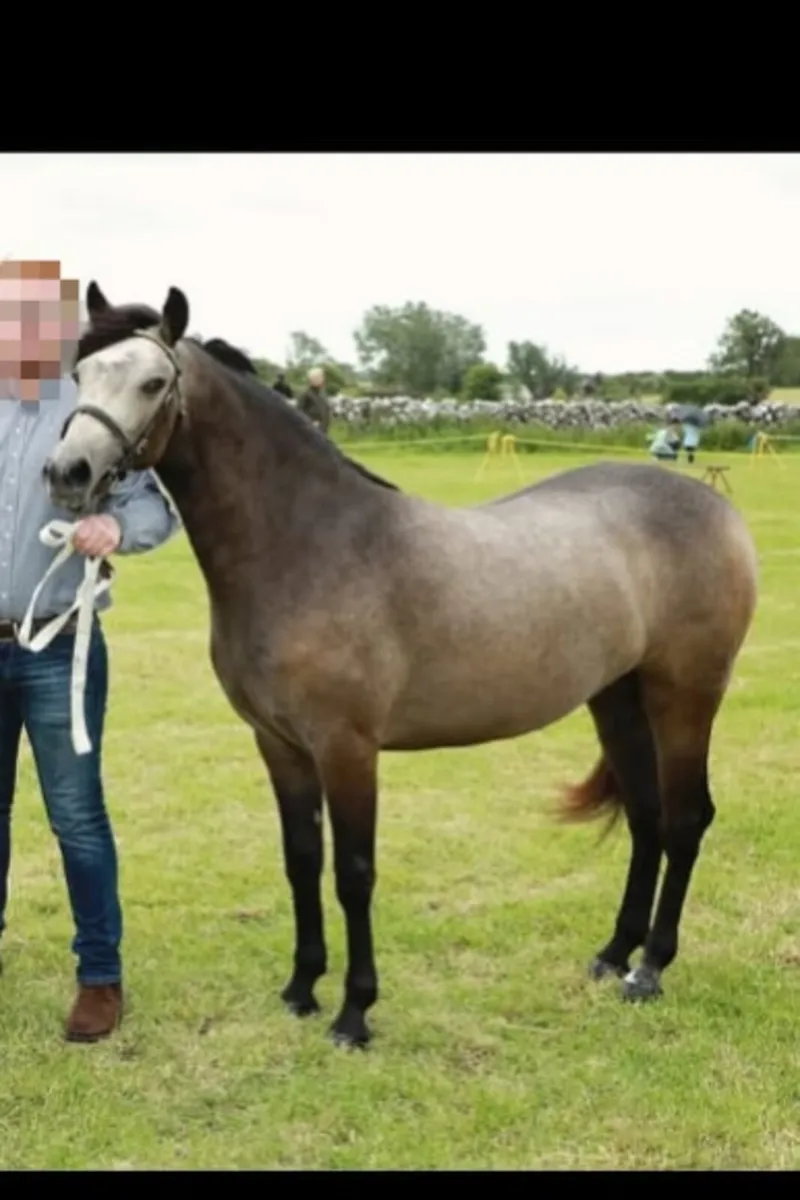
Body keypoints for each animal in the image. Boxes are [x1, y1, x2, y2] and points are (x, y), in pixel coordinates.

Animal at [42, 281, 759, 1049]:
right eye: (81, 375)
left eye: (152, 382)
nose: (67, 474)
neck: (307, 544)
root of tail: (715, 505)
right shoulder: (280, 744)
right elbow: (302, 861)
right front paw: (301, 988)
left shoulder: (347, 747)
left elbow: (353, 873)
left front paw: (355, 1013)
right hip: (618, 698)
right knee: (648, 818)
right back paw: (613, 953)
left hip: (686, 695)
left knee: (685, 818)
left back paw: (650, 969)